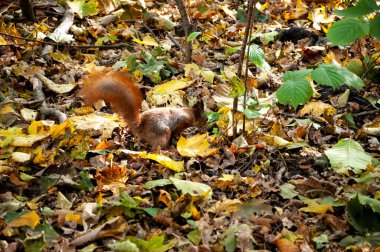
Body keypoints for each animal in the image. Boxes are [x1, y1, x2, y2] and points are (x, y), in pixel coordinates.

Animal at [78, 71, 206, 150]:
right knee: (155, 149)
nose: (205, 127)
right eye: (204, 118)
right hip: (163, 133)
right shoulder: (183, 122)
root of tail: (140, 128)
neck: (191, 112)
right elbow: (178, 131)